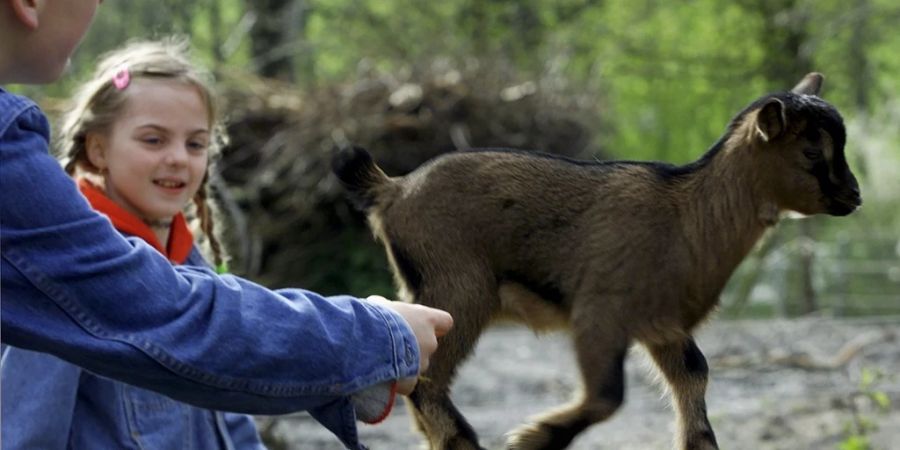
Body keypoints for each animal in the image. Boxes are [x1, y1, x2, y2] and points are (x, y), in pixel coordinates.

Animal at [330, 74, 856, 450]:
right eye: (812, 150)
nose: (855, 196)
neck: (688, 214)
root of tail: (392, 188)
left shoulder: (662, 325)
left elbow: (695, 374)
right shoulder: (600, 314)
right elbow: (607, 395)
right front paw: (534, 439)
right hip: (458, 290)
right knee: (425, 380)